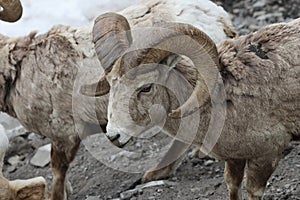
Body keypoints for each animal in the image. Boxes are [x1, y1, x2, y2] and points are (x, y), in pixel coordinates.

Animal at [81, 12, 300, 200]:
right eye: (111, 84)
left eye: (146, 88)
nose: (114, 136)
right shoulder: (235, 160)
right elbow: (232, 187)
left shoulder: (266, 156)